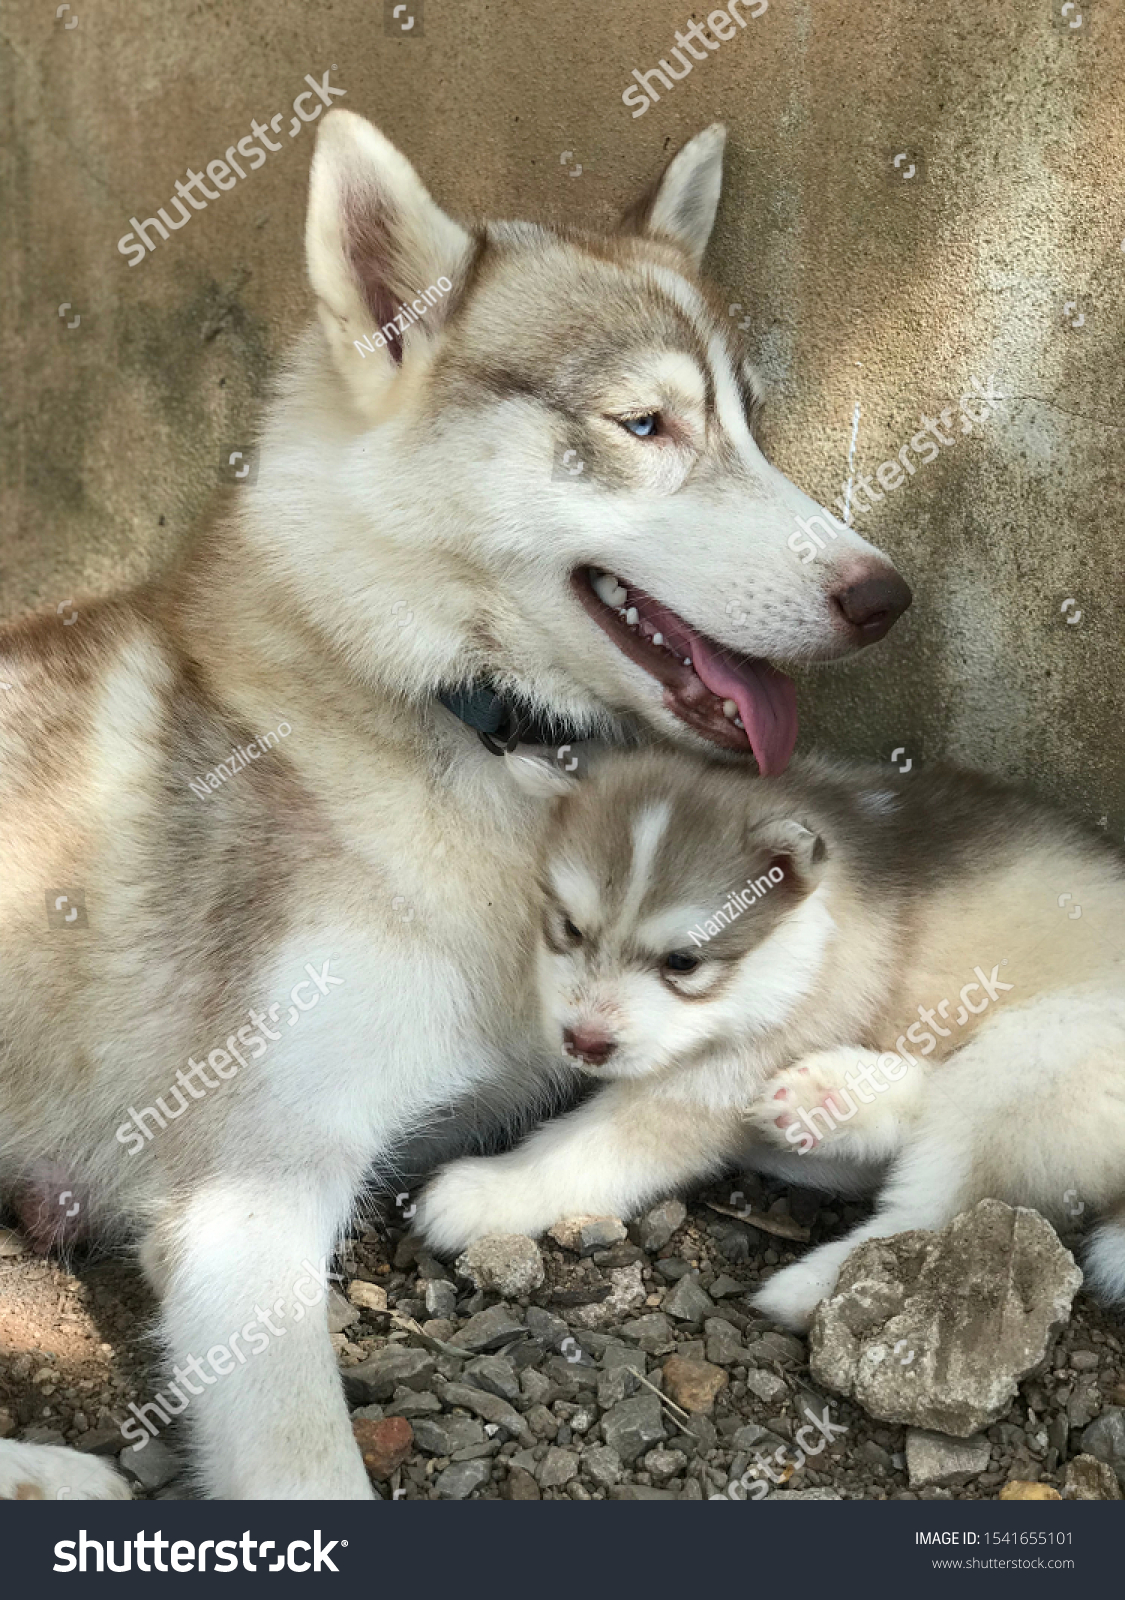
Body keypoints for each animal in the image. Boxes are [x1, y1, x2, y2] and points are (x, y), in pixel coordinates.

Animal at [0, 112, 908, 1497]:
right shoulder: (241, 1206)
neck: (470, 728)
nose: (885, 595)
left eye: (752, 428)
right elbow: (308, 1468)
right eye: (646, 424)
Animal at [416, 755, 1125, 1331]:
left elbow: (591, 1144)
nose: (584, 1043)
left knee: (938, 1209)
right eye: (568, 928)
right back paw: (826, 1101)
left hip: (1038, 1053)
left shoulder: (722, 1075)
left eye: (683, 962)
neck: (807, 943)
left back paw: (824, 1287)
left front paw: (492, 1190)